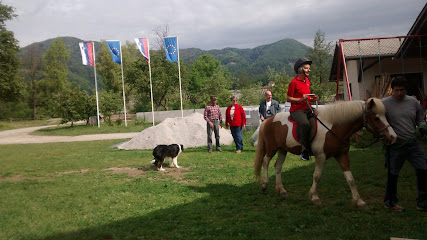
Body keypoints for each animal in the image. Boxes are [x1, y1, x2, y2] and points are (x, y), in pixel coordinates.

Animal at [254, 97, 398, 208]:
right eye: (376, 118)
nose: (392, 137)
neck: (334, 127)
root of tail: (268, 120)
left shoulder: (342, 155)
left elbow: (350, 179)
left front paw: (358, 200)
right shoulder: (321, 156)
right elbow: (317, 176)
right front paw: (314, 197)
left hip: (283, 149)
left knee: (277, 166)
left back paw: (281, 190)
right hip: (272, 148)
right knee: (265, 162)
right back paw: (264, 184)